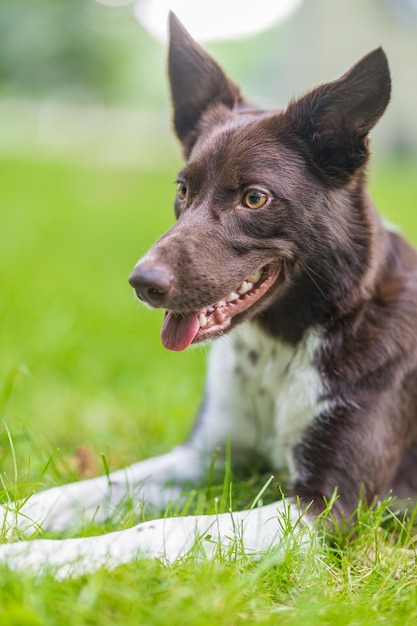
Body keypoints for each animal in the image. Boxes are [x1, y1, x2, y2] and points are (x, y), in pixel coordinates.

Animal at [0, 11, 416, 576]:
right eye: (182, 189)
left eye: (255, 198)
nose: (142, 284)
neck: (284, 344)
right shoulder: (205, 456)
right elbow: (85, 489)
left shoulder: (325, 506)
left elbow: (158, 530)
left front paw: (35, 559)